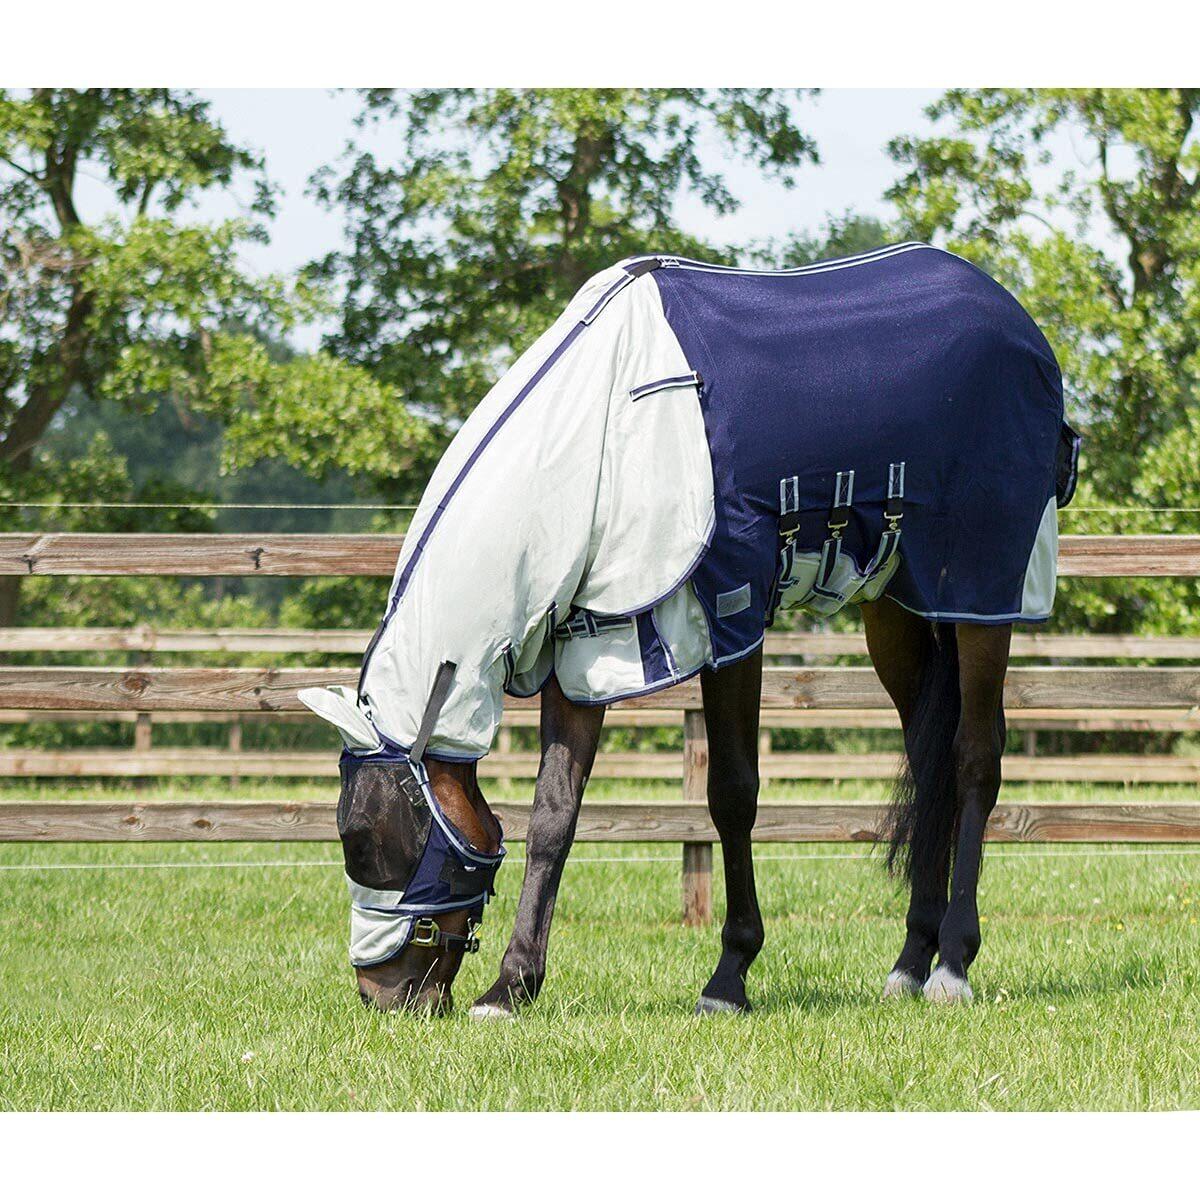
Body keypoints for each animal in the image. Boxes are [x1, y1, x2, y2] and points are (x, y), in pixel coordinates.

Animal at [300, 242, 1080, 1015]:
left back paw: (953, 964)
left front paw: (729, 975)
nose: (381, 995)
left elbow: (731, 793)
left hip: (987, 594)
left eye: (364, 842)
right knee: (930, 762)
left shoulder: (729, 619)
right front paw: (512, 985)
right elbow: (554, 813)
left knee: (975, 758)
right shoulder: (584, 641)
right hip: (898, 608)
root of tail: (1015, 320)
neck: (595, 436)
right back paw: (911, 962)